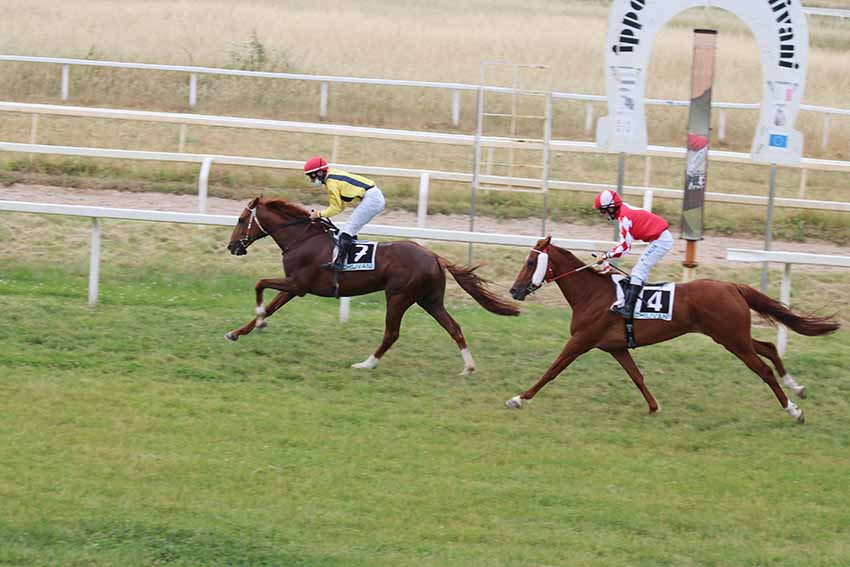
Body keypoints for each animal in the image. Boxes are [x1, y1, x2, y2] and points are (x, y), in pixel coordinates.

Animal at [224, 197, 516, 374]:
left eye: (240, 220)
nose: (232, 247)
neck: (302, 239)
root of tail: (433, 255)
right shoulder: (295, 288)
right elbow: (271, 304)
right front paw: (238, 331)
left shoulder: (298, 284)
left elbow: (260, 284)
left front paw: (259, 320)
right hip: (430, 299)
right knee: (453, 327)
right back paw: (468, 367)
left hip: (398, 296)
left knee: (391, 333)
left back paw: (366, 363)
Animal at [506, 237, 840, 424]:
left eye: (531, 261)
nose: (514, 290)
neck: (593, 295)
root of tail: (732, 286)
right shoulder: (616, 347)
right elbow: (637, 376)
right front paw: (654, 407)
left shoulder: (580, 340)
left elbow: (552, 370)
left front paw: (519, 398)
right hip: (733, 336)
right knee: (769, 347)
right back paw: (797, 387)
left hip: (732, 338)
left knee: (764, 370)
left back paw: (794, 410)